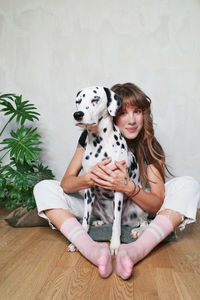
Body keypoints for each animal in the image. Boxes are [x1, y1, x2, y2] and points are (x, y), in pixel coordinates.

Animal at [72, 85, 148, 254]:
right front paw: (78, 241)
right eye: (78, 101)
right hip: (94, 203)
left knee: (145, 223)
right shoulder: (88, 187)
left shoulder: (118, 187)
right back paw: (99, 222)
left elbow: (116, 223)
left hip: (138, 205)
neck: (99, 143)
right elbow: (84, 220)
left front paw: (114, 245)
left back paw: (137, 230)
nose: (78, 114)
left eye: (95, 99)